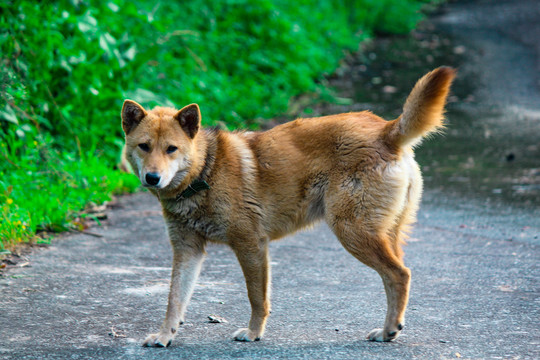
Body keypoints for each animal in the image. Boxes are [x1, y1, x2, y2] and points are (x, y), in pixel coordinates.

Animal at [120, 67, 454, 346]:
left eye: (171, 149)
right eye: (144, 146)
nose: (152, 178)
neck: (204, 172)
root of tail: (386, 130)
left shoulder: (251, 244)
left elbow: (257, 298)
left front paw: (253, 333)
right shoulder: (187, 250)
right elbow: (174, 299)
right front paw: (165, 336)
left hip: (353, 231)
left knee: (399, 275)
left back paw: (388, 330)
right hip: (382, 233)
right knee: (395, 277)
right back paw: (389, 329)